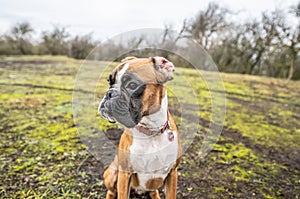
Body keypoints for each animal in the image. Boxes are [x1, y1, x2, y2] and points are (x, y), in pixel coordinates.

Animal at [99, 56, 182, 199]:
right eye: (110, 81)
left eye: (132, 85)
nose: (109, 93)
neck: (151, 130)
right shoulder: (125, 173)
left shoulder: (172, 173)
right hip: (113, 173)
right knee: (111, 191)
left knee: (153, 191)